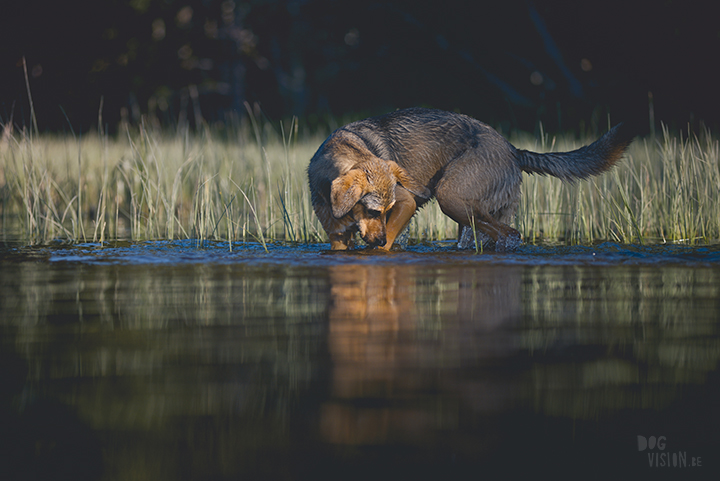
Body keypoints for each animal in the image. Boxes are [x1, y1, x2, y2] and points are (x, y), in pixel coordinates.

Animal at [306, 108, 632, 249]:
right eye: (373, 211)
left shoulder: (406, 203)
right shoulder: (338, 238)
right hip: (469, 218)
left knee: (510, 234)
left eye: (384, 211)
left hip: (451, 199)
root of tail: (512, 149)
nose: (379, 238)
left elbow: (386, 247)